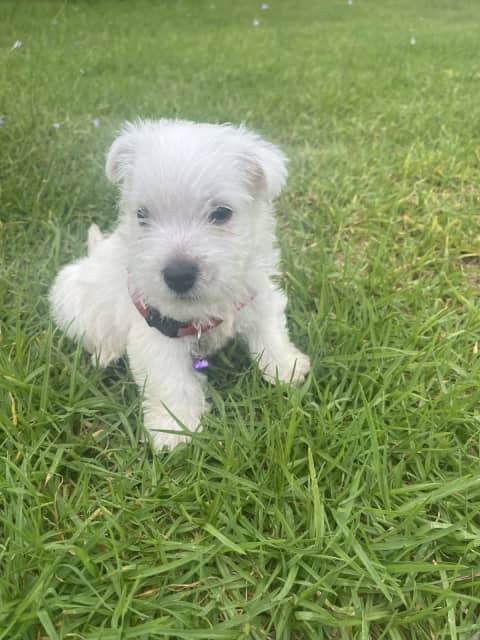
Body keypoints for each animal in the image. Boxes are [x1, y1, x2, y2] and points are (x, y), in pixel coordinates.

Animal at [49, 121, 312, 450]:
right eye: (142, 215)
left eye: (221, 213)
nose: (178, 275)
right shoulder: (156, 329)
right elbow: (170, 381)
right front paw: (173, 431)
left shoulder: (258, 295)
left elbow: (271, 334)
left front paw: (287, 368)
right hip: (71, 296)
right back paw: (105, 353)